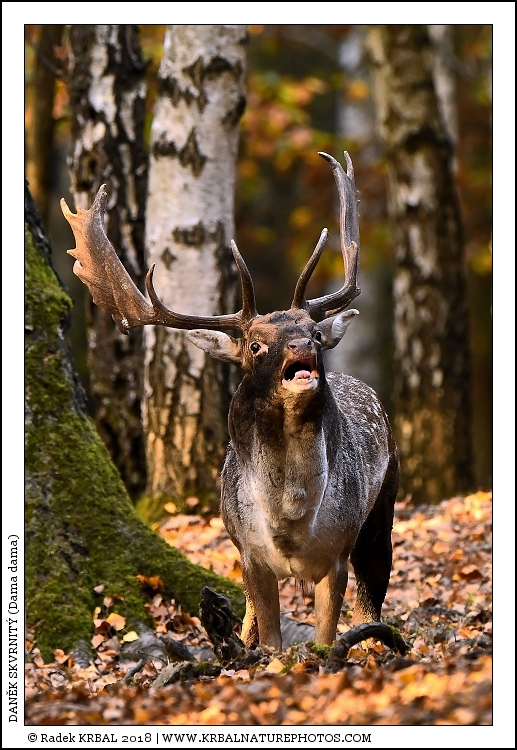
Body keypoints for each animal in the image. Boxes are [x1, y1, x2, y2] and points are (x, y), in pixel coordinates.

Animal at [61, 151, 399, 650]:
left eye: (315, 333)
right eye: (256, 344)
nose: (303, 345)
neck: (290, 520)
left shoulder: (337, 553)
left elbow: (324, 636)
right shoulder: (250, 555)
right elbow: (271, 640)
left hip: (383, 507)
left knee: (373, 595)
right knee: (251, 618)